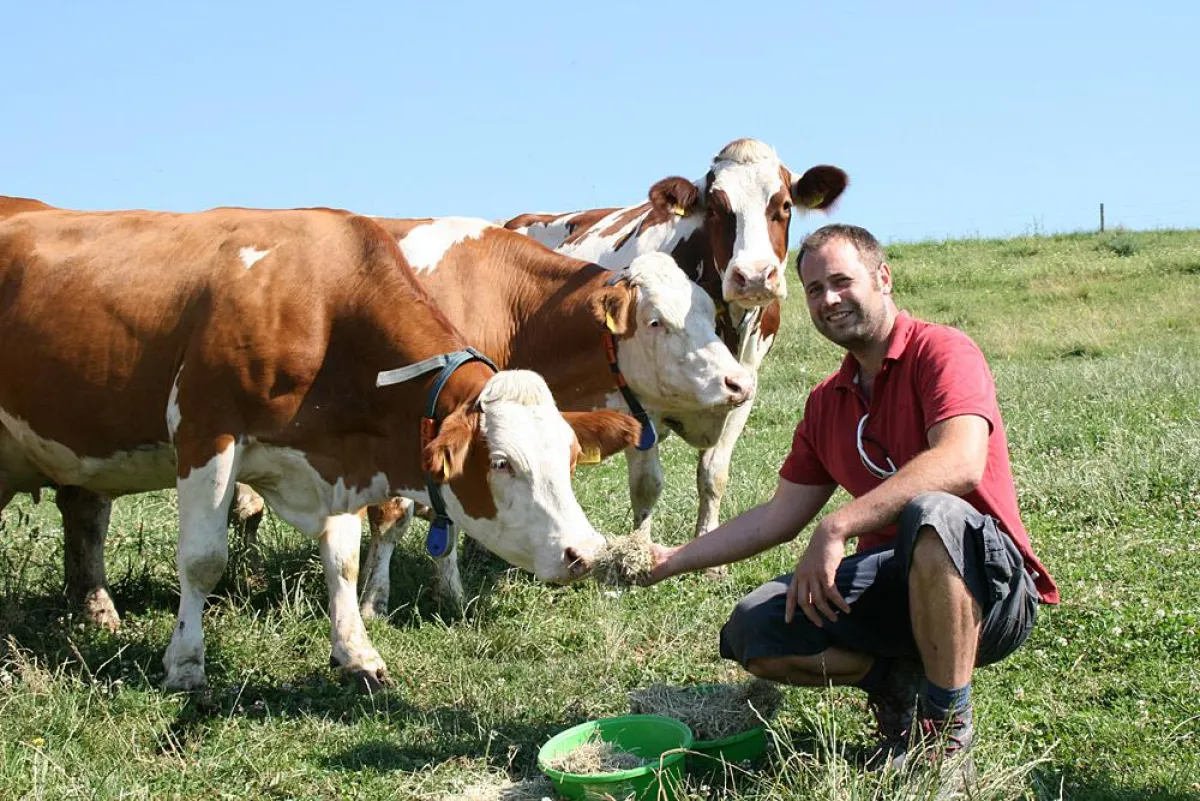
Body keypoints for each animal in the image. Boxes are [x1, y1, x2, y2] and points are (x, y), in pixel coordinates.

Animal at [0, 204, 640, 691]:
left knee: (83, 513)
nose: (586, 553)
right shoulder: (206, 431)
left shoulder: (335, 462)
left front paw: (357, 652)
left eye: (569, 459)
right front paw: (184, 665)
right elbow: (203, 560)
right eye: (503, 463)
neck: (320, 306)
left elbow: (344, 557)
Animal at [505, 138, 848, 539]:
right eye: (715, 209)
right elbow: (646, 484)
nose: (754, 277)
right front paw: (640, 548)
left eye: (785, 205)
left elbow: (713, 474)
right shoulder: (637, 399)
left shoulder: (745, 385)